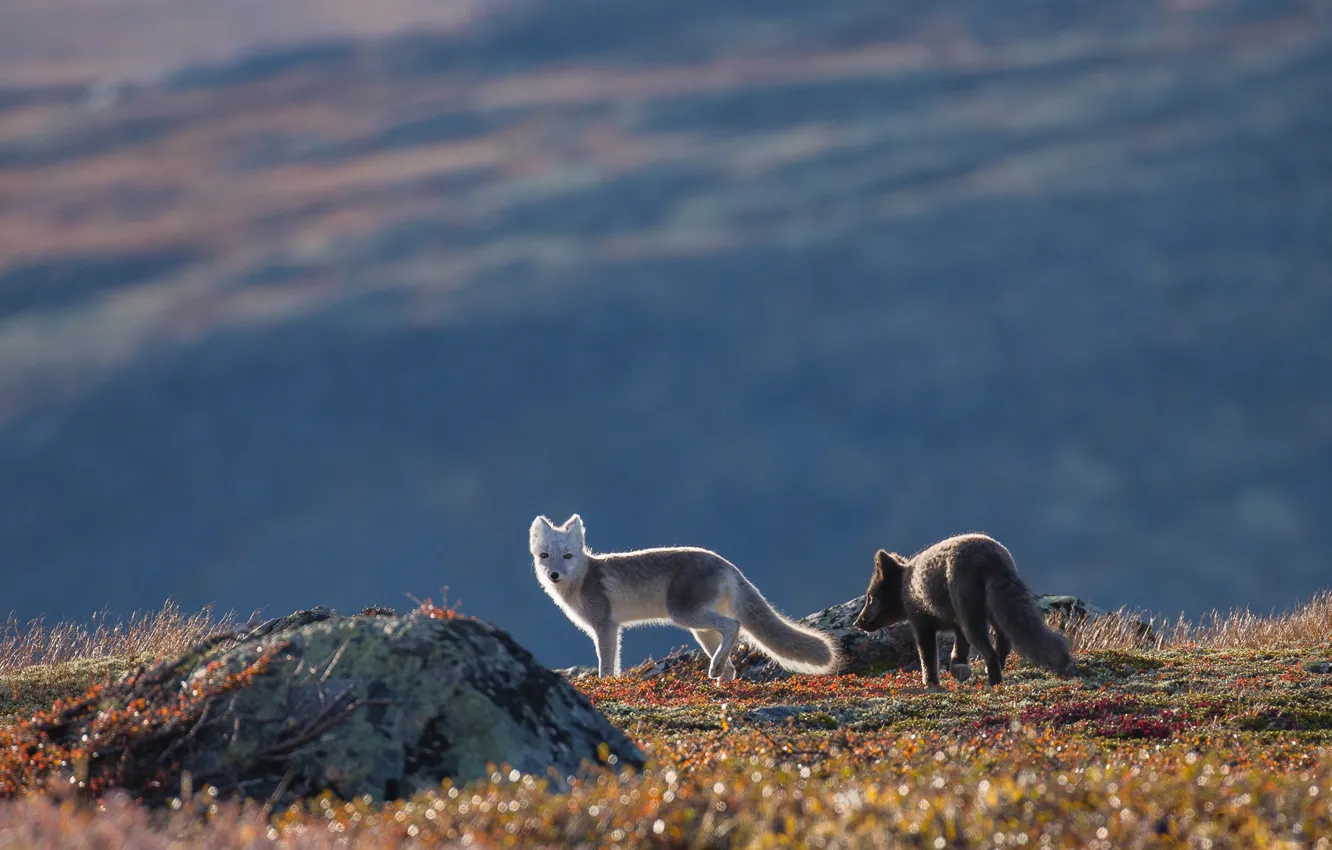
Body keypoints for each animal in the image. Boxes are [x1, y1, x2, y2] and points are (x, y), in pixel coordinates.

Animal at [529, 514, 841, 682]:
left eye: (568, 556)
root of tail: (726, 564)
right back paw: (720, 682)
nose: (553, 575)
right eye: (545, 555)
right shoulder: (610, 628)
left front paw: (607, 687)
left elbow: (607, 666)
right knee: (731, 665)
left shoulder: (606, 626)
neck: (583, 578)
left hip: (684, 615)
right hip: (700, 630)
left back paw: (716, 671)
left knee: (734, 626)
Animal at [852, 533, 1071, 687]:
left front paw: (931, 683)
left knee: (990, 652)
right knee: (1005, 642)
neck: (904, 585)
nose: (857, 622)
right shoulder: (956, 625)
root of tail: (991, 557)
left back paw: (994, 684)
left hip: (970, 613)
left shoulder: (922, 623)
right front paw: (959, 670)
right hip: (994, 611)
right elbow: (959, 652)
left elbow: (928, 658)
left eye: (871, 597)